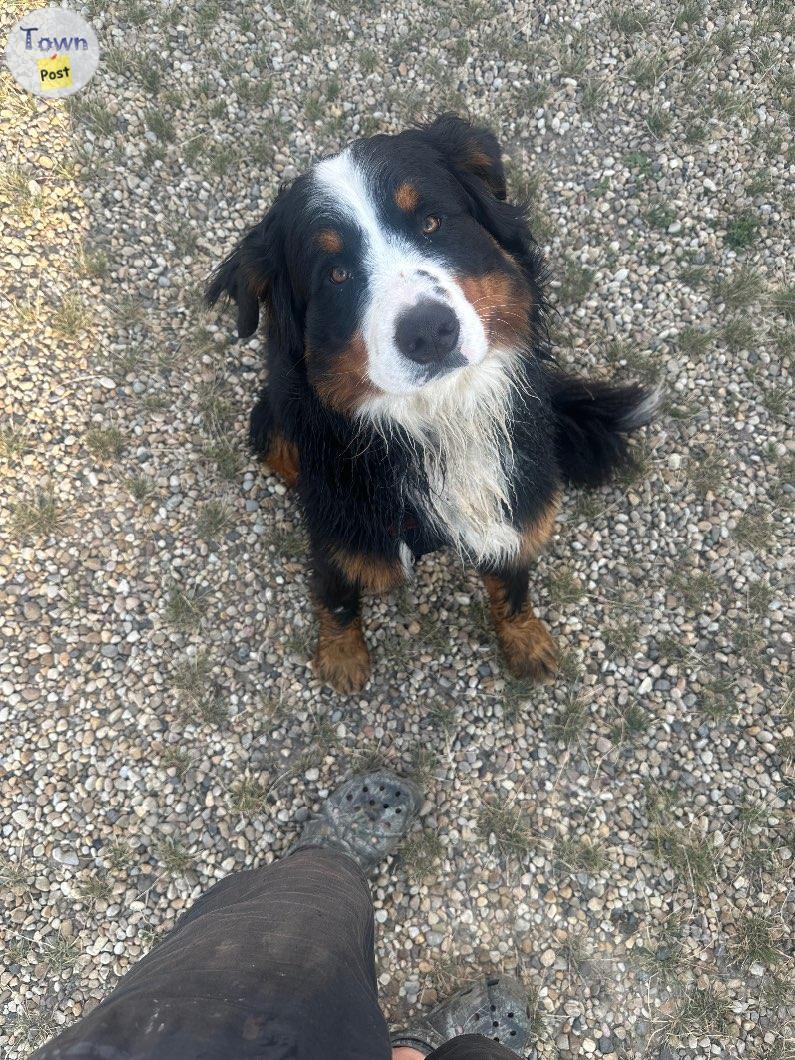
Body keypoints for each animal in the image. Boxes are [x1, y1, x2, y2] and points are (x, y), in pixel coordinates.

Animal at [206, 116, 661, 695]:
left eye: (431, 222)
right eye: (334, 273)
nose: (428, 332)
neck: (439, 415)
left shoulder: (516, 504)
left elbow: (513, 585)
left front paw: (526, 642)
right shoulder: (341, 531)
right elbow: (336, 595)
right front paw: (342, 658)